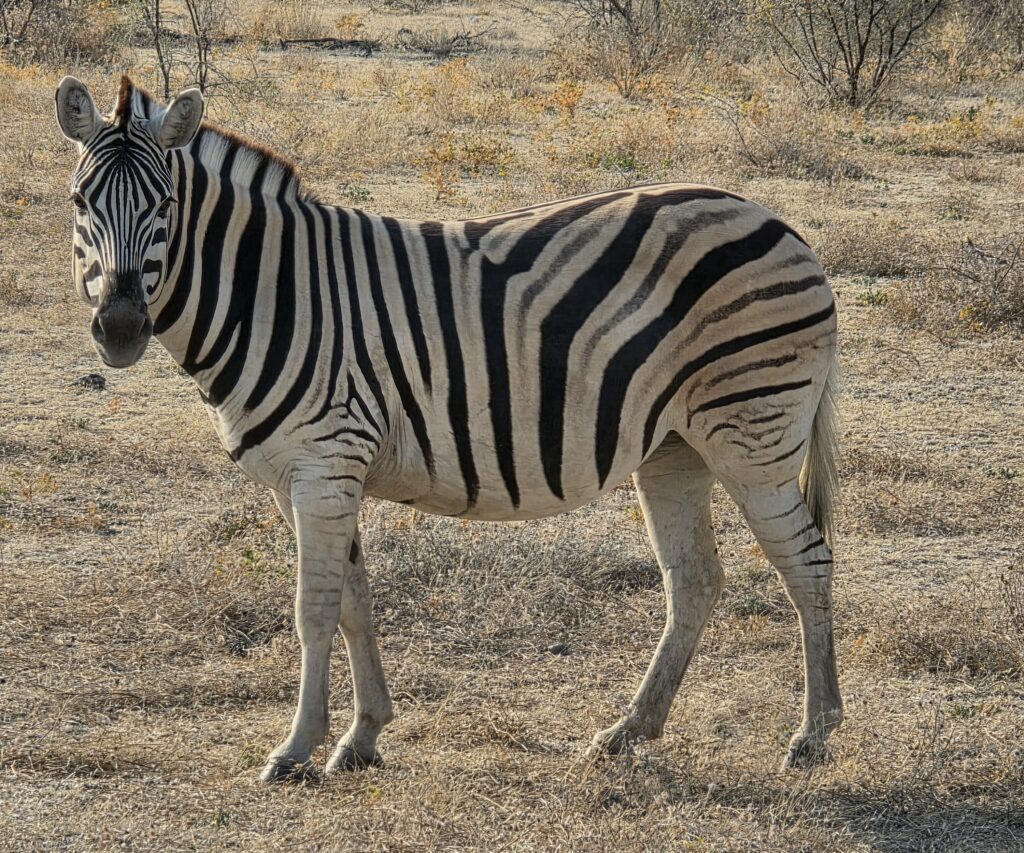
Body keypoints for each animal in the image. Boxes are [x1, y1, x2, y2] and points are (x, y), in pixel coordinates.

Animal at [55, 75, 842, 783]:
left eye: (164, 205)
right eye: (78, 202)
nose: (119, 329)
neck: (272, 291)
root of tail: (780, 223)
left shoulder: (326, 461)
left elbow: (314, 608)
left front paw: (297, 747)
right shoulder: (303, 476)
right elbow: (354, 600)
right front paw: (363, 737)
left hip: (752, 433)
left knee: (807, 561)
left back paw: (813, 735)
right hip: (675, 448)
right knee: (695, 578)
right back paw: (627, 731)